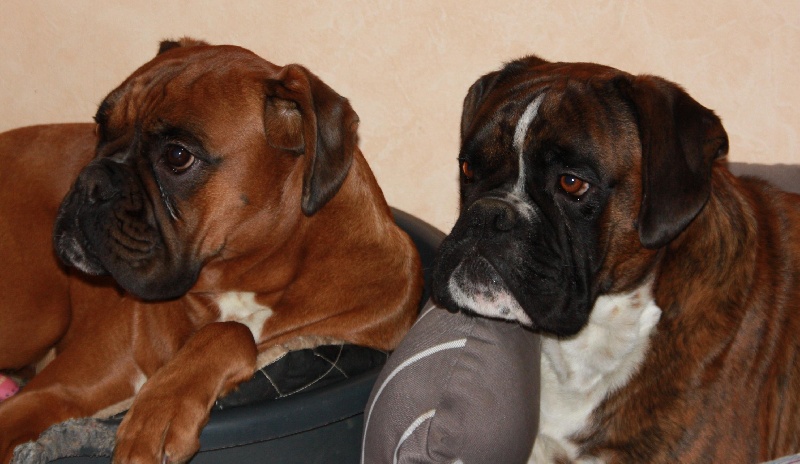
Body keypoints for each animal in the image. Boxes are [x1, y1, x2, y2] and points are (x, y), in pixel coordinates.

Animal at [0, 38, 422, 463]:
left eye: (177, 156)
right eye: (101, 126)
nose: (90, 179)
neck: (240, 279)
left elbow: (231, 332)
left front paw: (160, 410)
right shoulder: (46, 397)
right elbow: (233, 330)